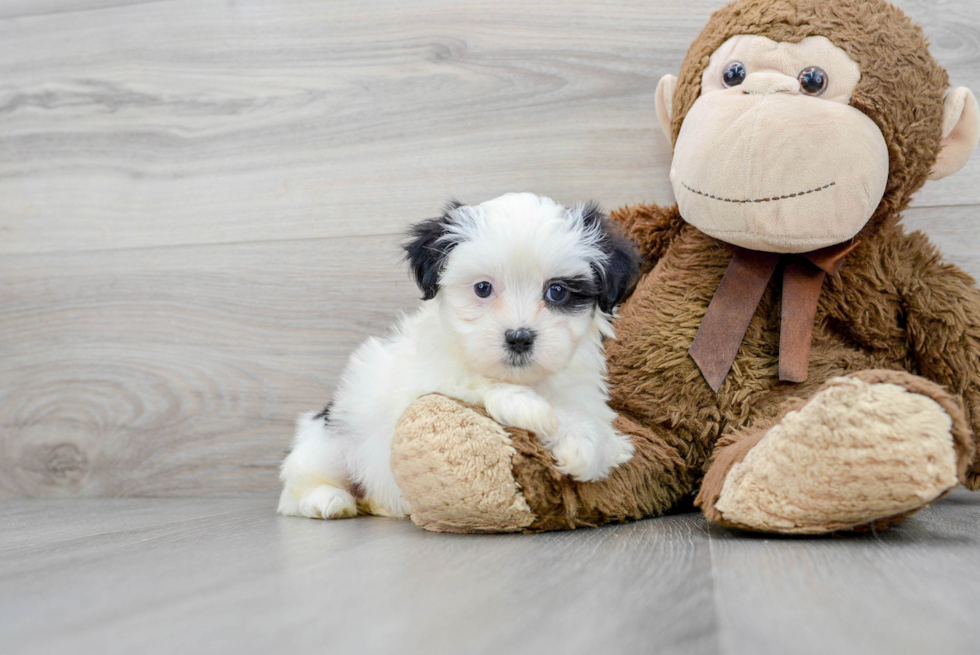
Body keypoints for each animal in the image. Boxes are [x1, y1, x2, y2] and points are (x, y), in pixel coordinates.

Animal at [278, 192, 644, 520]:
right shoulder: (424, 382)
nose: (519, 337)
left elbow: (588, 419)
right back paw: (328, 500)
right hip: (329, 441)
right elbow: (469, 380)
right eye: (482, 288)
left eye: (557, 291)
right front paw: (526, 407)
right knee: (299, 489)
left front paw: (585, 445)